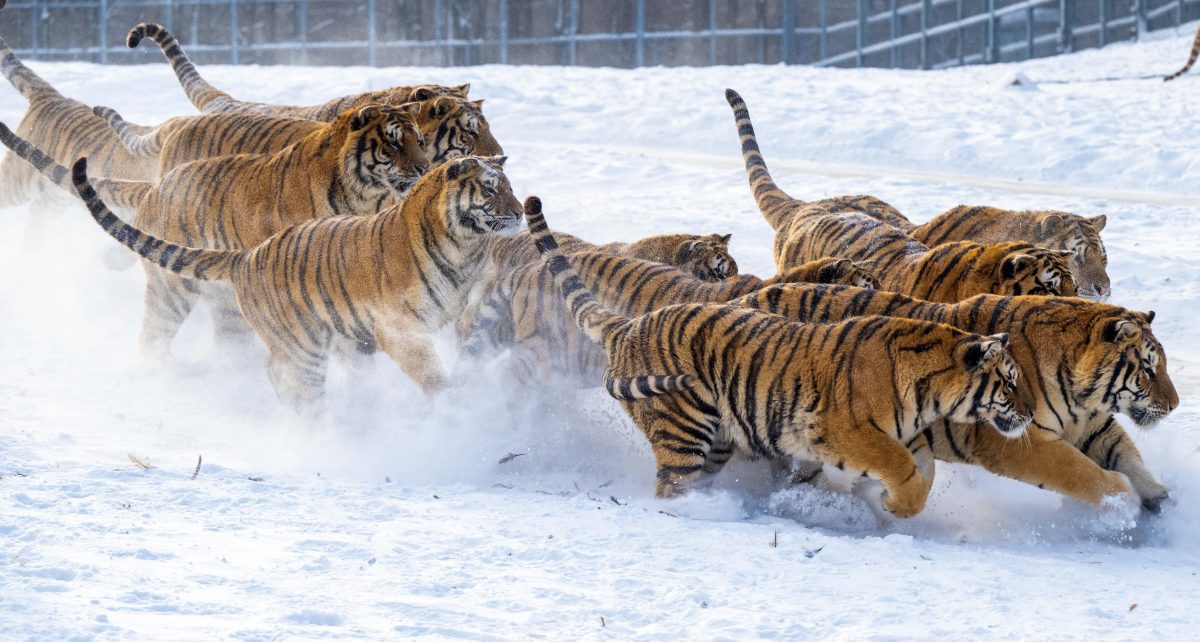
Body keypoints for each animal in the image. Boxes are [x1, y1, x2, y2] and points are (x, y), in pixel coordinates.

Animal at [0, 103, 428, 355]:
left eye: (421, 140)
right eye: (393, 143)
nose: (425, 168)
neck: (363, 194)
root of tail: (155, 187)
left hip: (223, 304)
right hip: (173, 290)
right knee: (152, 336)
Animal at [73, 155, 522, 409]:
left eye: (511, 187)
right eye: (489, 189)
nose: (519, 212)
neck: (465, 247)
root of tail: (247, 255)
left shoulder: (470, 292)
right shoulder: (399, 328)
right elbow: (430, 374)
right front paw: (452, 403)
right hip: (299, 342)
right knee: (293, 383)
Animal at [523, 195, 1029, 515]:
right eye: (1009, 381)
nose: (1028, 415)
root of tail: (628, 326)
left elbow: (919, 471)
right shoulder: (844, 430)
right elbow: (901, 469)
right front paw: (893, 505)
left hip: (717, 437)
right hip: (684, 428)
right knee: (671, 486)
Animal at [734, 283, 1179, 511]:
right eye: (1148, 368)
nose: (1176, 405)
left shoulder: (1090, 424)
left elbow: (1127, 453)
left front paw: (1157, 494)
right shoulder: (1017, 440)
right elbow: (1080, 472)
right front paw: (1122, 503)